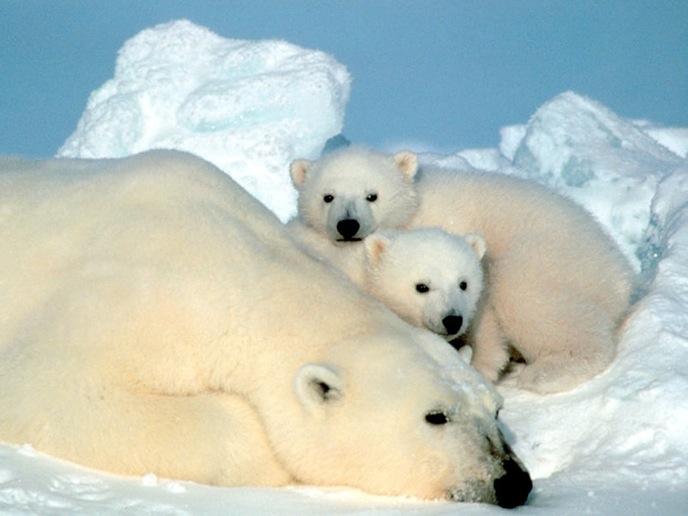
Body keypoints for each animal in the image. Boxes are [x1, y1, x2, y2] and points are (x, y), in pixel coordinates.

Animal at [288, 147, 636, 394]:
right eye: (328, 196)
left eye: (371, 195)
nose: (348, 225)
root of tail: (619, 272)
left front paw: (479, 364)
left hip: (550, 257)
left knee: (531, 299)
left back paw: (547, 372)